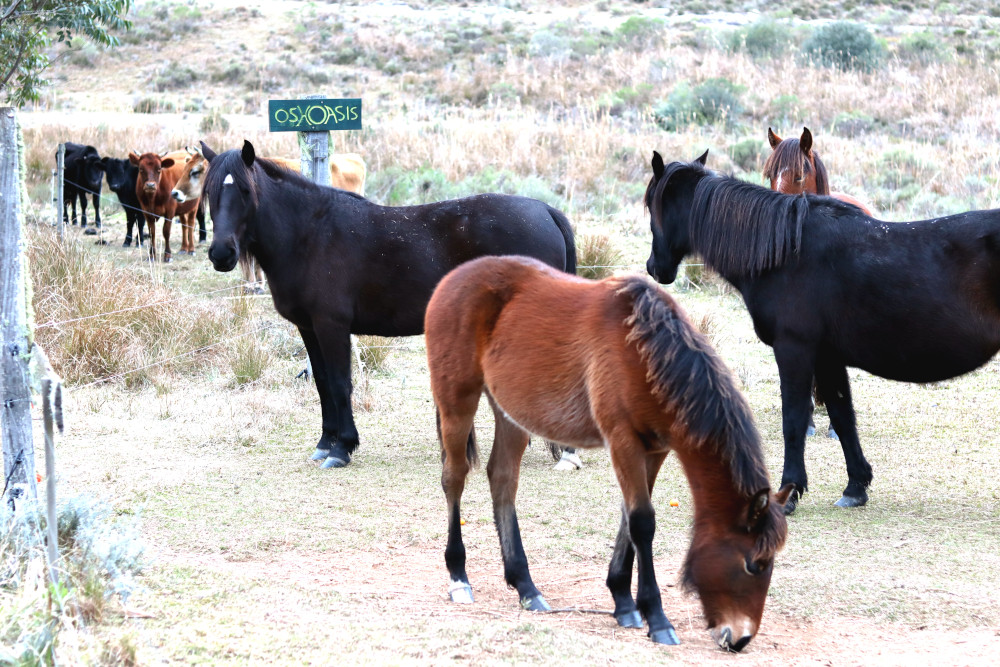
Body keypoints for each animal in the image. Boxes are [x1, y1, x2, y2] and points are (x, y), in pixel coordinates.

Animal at [201, 140, 577, 469]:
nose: (221, 254)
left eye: (245, 192)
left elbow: (340, 383)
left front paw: (342, 448)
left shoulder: (331, 326)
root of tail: (546, 210)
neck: (309, 234)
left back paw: (568, 453)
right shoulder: (308, 327)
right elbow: (322, 383)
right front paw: (325, 444)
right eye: (210, 193)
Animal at [425, 255, 792, 650]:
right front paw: (656, 617)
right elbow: (642, 522)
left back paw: (525, 585)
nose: (740, 638)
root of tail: (453, 277)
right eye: (753, 564)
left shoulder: (655, 449)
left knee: (503, 480)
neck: (646, 353)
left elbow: (628, 519)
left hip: (510, 414)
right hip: (457, 404)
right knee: (454, 479)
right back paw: (459, 577)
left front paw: (623, 602)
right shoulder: (623, 441)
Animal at [644, 151, 1000, 514]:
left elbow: (794, 419)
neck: (787, 253)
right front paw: (856, 487)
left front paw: (789, 492)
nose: (654, 268)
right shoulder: (828, 356)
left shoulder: (794, 349)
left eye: (652, 207)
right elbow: (843, 416)